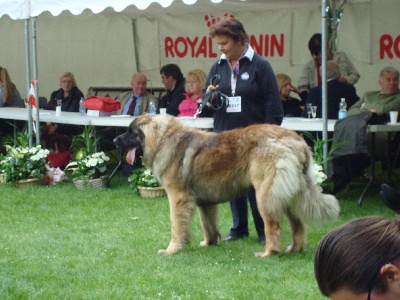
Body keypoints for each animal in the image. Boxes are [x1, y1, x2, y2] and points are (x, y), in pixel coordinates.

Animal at [114, 115, 340, 258]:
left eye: (131, 132)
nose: (115, 140)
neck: (163, 140)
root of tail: (297, 140)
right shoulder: (204, 201)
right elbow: (207, 224)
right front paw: (210, 243)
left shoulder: (178, 197)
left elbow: (176, 225)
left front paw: (172, 249)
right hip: (290, 193)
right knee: (298, 224)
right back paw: (294, 249)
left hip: (266, 194)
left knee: (273, 227)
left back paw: (268, 253)